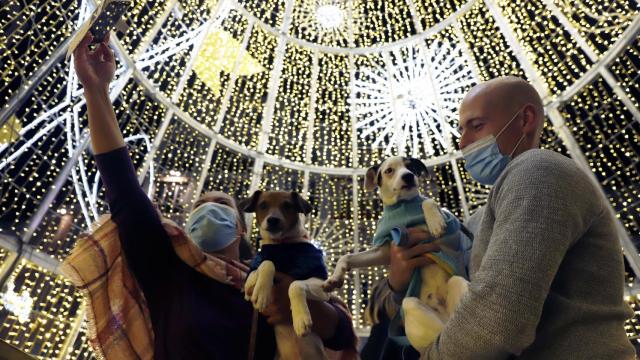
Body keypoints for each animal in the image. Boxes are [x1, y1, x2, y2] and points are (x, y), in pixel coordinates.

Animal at [239, 191, 330, 360]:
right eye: (263, 205)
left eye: (287, 205)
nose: (273, 220)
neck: (282, 244)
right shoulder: (258, 265)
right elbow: (266, 263)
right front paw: (261, 292)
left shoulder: (322, 285)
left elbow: (295, 284)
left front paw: (301, 319)